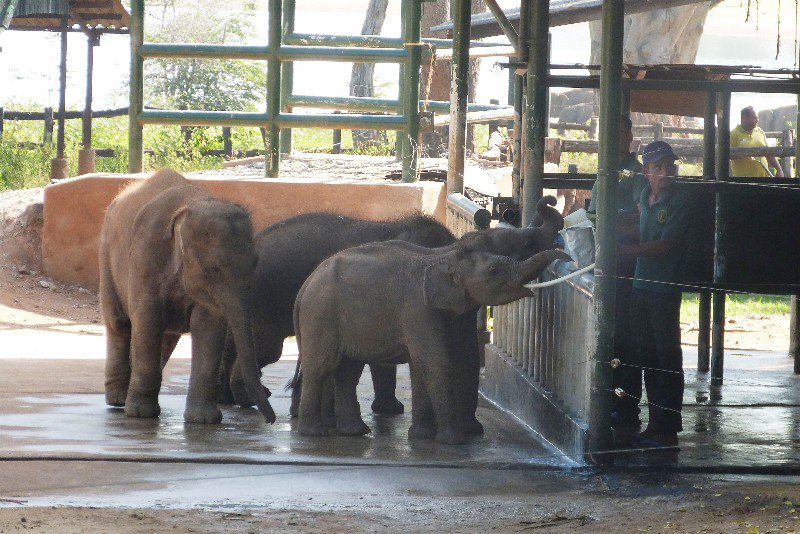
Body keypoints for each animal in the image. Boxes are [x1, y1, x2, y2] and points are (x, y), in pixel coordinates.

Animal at [99, 171, 276, 428]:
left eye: (255, 263)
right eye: (213, 269)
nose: (271, 421)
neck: (191, 206)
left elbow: (208, 326)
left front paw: (203, 420)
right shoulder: (145, 257)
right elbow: (147, 320)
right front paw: (141, 414)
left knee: (167, 337)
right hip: (105, 256)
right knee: (120, 324)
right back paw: (119, 402)